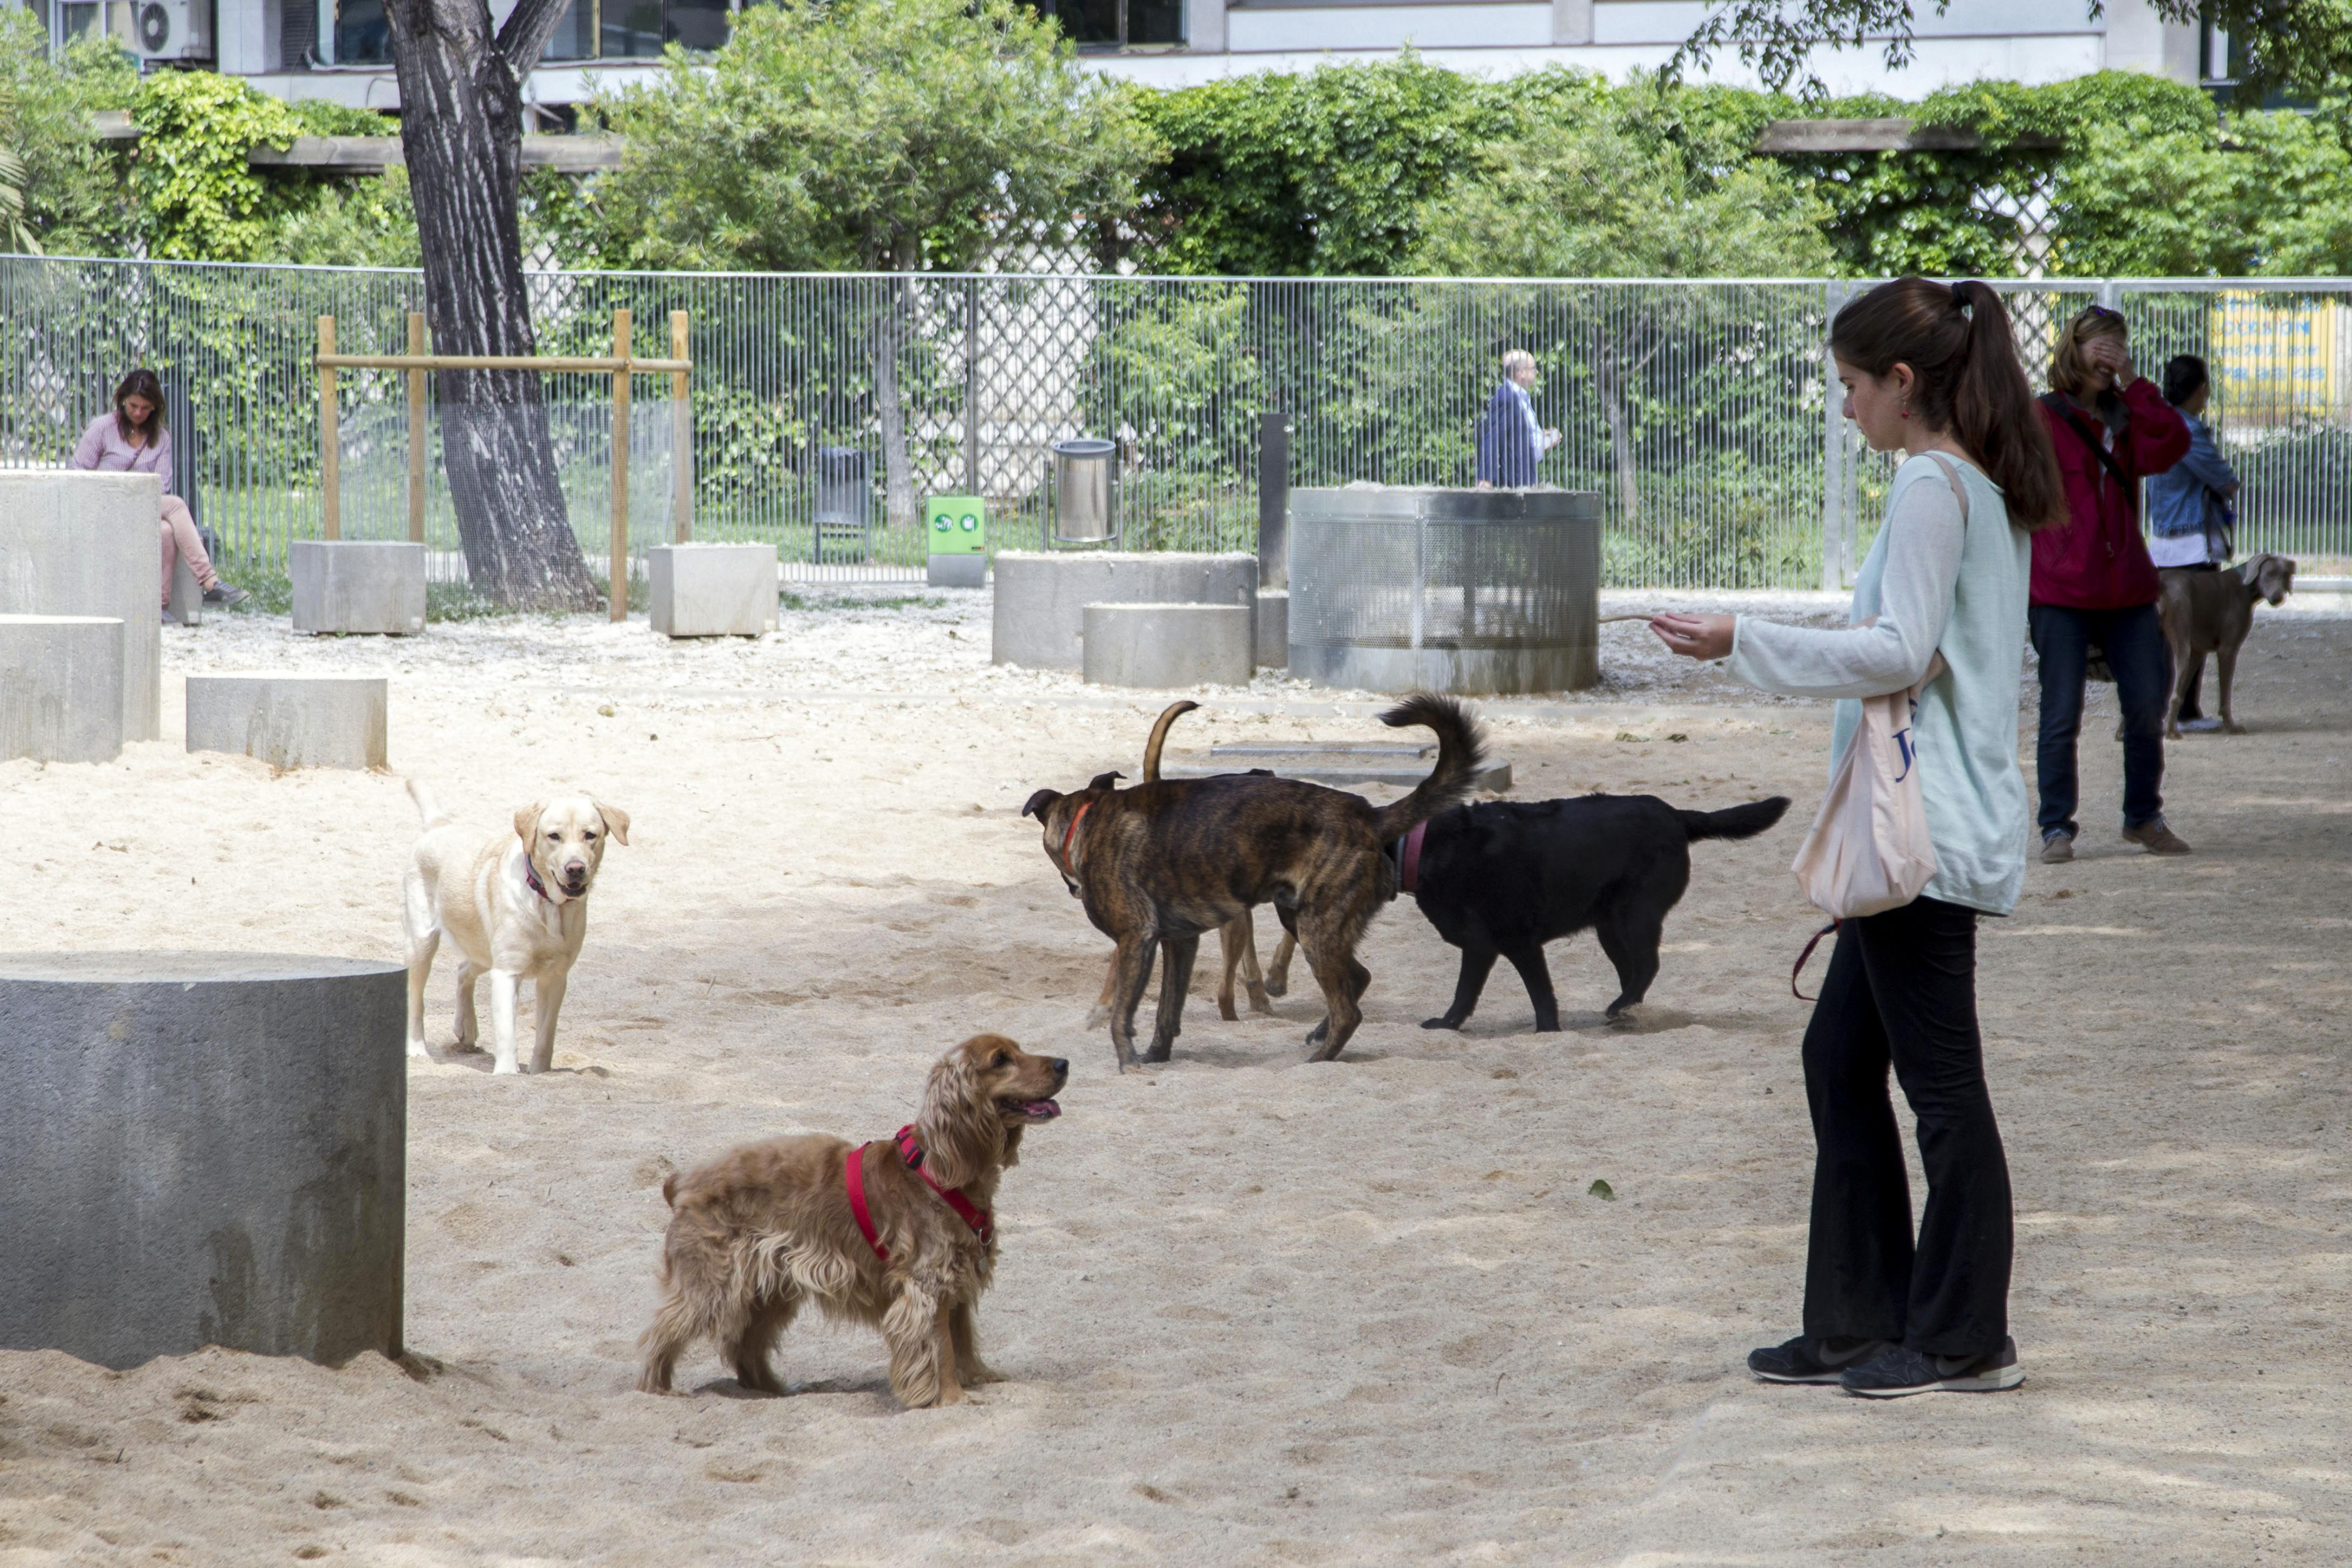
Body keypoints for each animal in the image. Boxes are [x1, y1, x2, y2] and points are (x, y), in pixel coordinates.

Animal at [405, 780, 630, 1072]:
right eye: (554, 836)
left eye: (590, 835)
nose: (575, 868)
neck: (548, 904)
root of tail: (440, 824)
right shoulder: (506, 973)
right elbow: (507, 1034)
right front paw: (507, 1072)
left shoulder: (555, 977)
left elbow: (546, 1035)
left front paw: (539, 1072)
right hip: (422, 942)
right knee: (415, 997)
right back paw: (417, 1048)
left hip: (484, 950)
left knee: (463, 970)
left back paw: (466, 1028)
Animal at [1021, 696, 1477, 1072]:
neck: (1087, 820)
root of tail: (1370, 814)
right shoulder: (1180, 943)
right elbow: (1167, 1010)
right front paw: (1156, 1057)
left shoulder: (1137, 938)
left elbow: (1122, 1015)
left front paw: (1128, 1062)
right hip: (1304, 919)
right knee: (1358, 979)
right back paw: (1320, 1036)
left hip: (1315, 928)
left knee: (1350, 1010)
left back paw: (1318, 1059)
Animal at [1402, 790, 1788, 1034]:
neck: (1430, 848)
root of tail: (1675, 815)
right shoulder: (1480, 947)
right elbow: (1464, 993)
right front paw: (1447, 1026)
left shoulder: (1520, 943)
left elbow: (1541, 995)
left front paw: (1548, 1033)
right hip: (1611, 928)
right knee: (1633, 973)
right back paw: (1626, 1012)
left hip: (1635, 915)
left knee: (1648, 964)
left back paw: (1621, 1009)